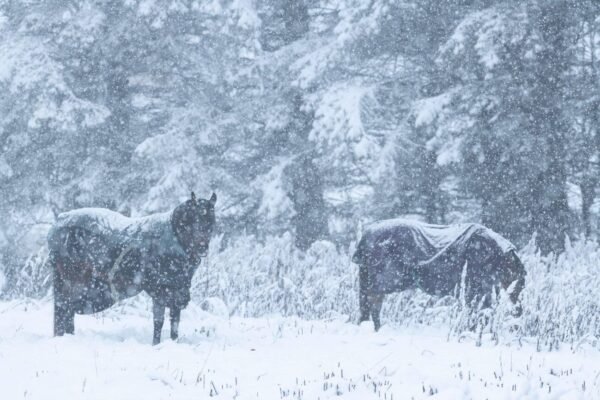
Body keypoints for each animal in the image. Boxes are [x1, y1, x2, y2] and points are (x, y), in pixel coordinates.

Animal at [47, 192, 216, 342]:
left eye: (212, 221)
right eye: (193, 220)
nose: (203, 248)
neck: (173, 240)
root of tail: (57, 224)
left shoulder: (179, 290)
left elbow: (175, 322)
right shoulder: (160, 290)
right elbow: (159, 322)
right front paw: (156, 344)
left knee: (67, 313)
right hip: (71, 283)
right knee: (63, 310)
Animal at [352, 220, 524, 330]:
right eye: (518, 283)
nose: (518, 312)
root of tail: (365, 237)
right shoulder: (475, 286)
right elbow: (478, 310)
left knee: (368, 304)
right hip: (383, 281)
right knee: (372, 303)